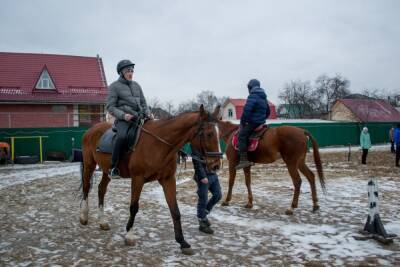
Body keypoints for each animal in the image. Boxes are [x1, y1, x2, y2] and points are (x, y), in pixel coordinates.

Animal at [79, 105, 220, 254]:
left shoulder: (168, 180)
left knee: (101, 189)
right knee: (86, 187)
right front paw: (129, 235)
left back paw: (103, 222)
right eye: (209, 134)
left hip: (106, 171)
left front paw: (183, 242)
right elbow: (134, 207)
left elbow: (175, 210)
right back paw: (83, 216)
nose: (216, 165)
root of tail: (90, 130)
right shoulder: (137, 179)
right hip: (89, 165)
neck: (159, 144)